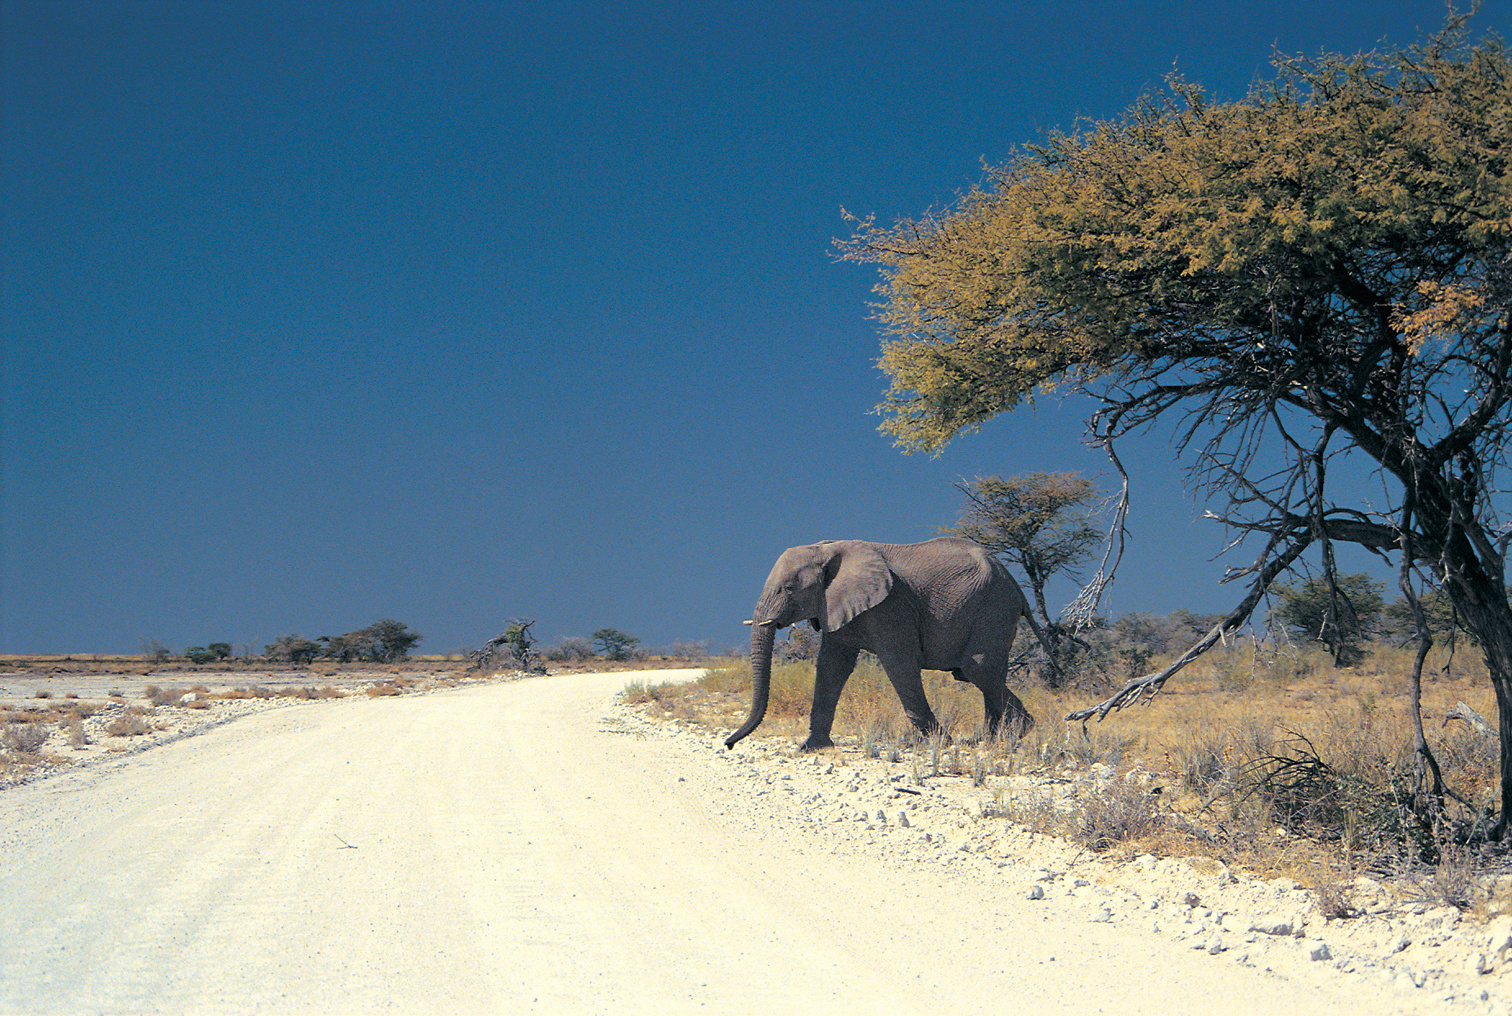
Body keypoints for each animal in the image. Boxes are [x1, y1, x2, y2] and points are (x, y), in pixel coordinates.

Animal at [725, 535, 1058, 749]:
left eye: (789, 588)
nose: (728, 745)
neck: (827, 548)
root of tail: (1013, 582)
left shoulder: (890, 605)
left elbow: (899, 664)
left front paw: (941, 743)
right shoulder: (835, 604)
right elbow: (832, 668)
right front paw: (812, 747)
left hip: (994, 606)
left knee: (976, 669)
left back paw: (1018, 734)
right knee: (984, 673)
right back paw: (992, 740)